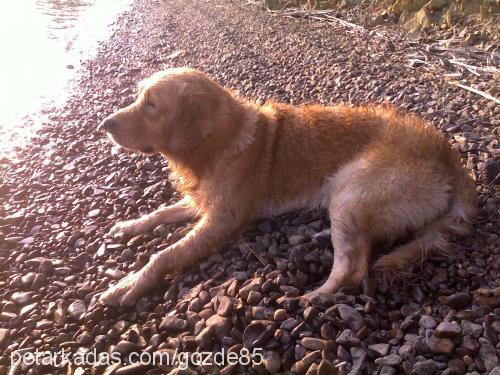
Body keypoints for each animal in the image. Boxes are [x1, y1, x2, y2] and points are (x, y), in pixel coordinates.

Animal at [97, 68, 476, 308]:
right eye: (139, 97)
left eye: (151, 104)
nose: (105, 124)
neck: (216, 146)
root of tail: (447, 153)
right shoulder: (202, 200)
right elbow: (160, 212)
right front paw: (129, 225)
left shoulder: (223, 220)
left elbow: (165, 253)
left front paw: (129, 283)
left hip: (350, 193)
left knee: (353, 268)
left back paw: (314, 297)